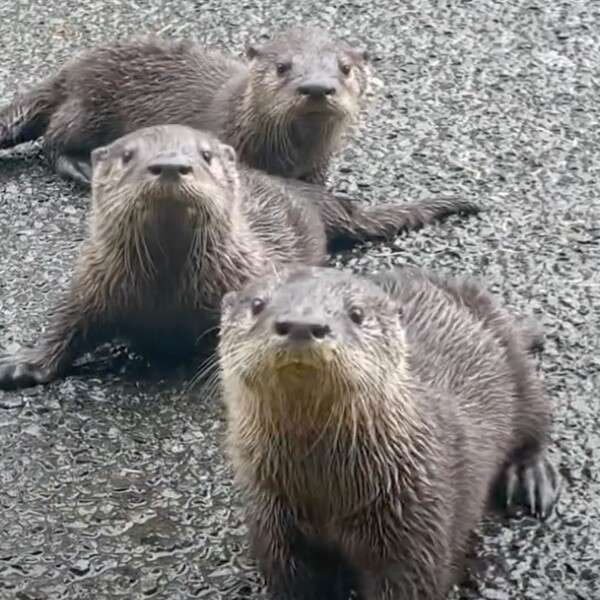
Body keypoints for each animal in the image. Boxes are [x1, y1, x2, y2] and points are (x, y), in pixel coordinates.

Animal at [0, 27, 372, 185]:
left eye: (345, 68)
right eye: (282, 67)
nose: (316, 87)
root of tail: (71, 69)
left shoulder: (317, 166)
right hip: (88, 108)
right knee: (53, 139)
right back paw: (82, 168)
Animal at [0, 124, 478, 392]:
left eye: (206, 155)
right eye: (127, 155)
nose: (170, 164)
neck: (165, 291)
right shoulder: (94, 279)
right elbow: (67, 322)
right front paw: (24, 364)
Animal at [218, 264, 560, 600]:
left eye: (356, 313)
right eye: (257, 304)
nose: (302, 324)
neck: (325, 489)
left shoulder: (418, 525)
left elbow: (411, 583)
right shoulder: (272, 522)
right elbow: (293, 581)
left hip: (517, 367)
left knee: (536, 423)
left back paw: (530, 477)